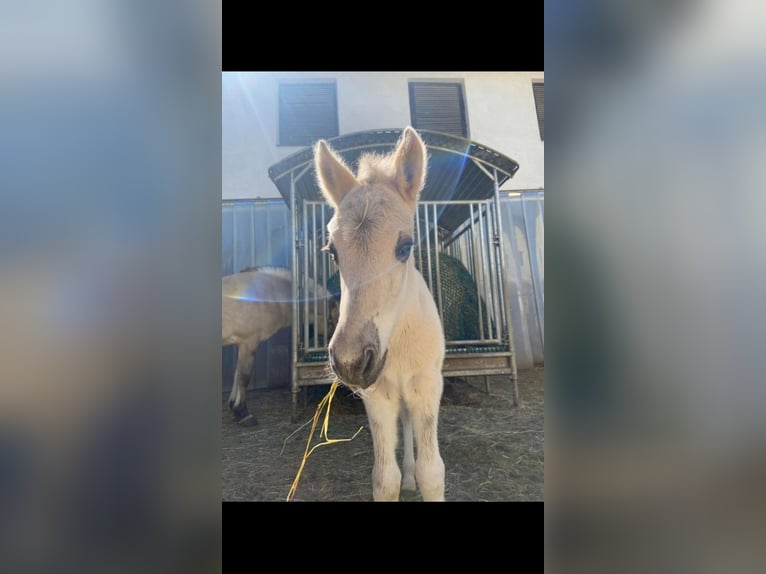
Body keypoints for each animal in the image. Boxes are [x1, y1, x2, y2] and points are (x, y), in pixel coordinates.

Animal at [316, 127, 448, 504]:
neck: (398, 342)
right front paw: (401, 480)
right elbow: (384, 478)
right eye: (333, 252)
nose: (350, 361)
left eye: (405, 247)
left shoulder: (427, 385)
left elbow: (432, 472)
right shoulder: (377, 394)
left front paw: (420, 477)